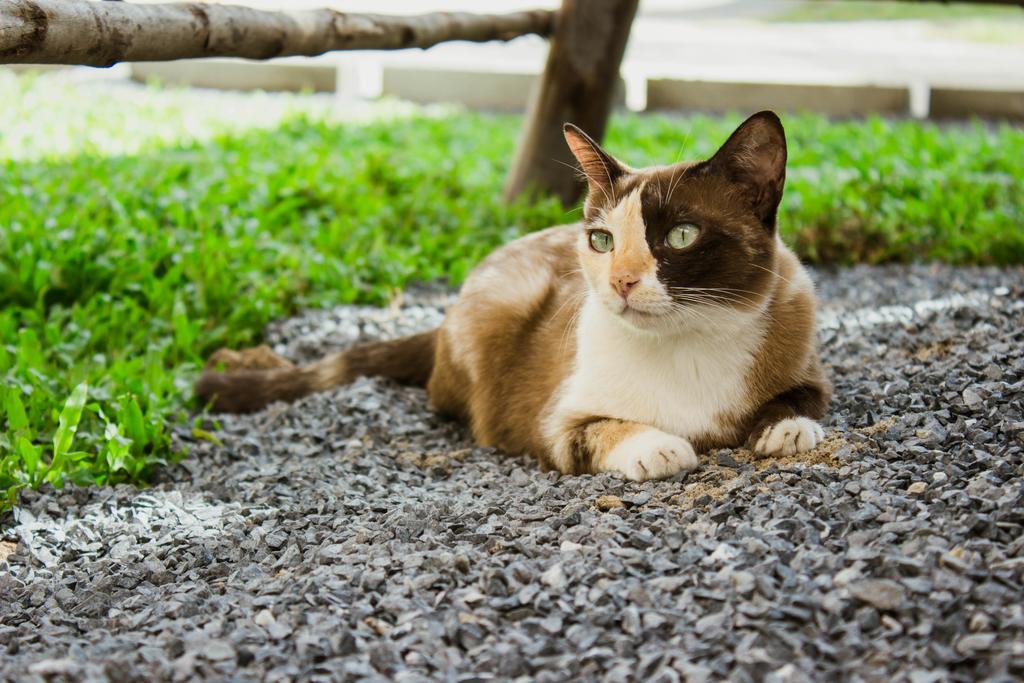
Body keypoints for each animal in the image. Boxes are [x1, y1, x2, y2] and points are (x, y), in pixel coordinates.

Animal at [197, 112, 831, 483]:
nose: (621, 281)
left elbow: (802, 399)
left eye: (680, 236)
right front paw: (659, 446)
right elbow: (603, 429)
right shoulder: (556, 422)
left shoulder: (802, 341)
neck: (689, 342)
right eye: (602, 240)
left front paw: (783, 430)